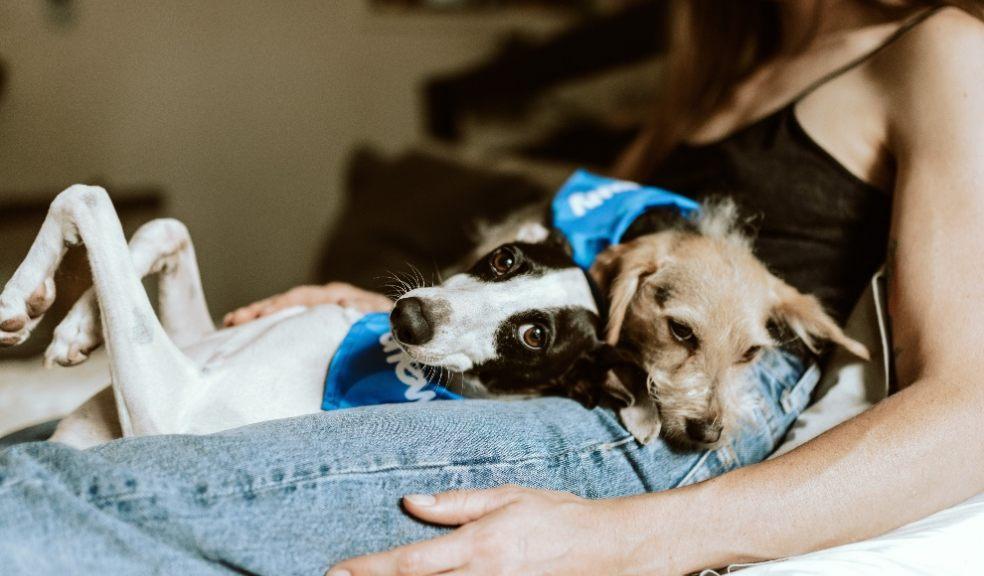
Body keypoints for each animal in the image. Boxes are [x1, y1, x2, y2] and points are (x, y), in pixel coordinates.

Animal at [0, 187, 612, 448]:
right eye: (506, 259)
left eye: (534, 336)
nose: (408, 317)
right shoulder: (196, 343)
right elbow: (162, 228)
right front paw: (76, 324)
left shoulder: (171, 407)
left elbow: (89, 199)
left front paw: (17, 302)